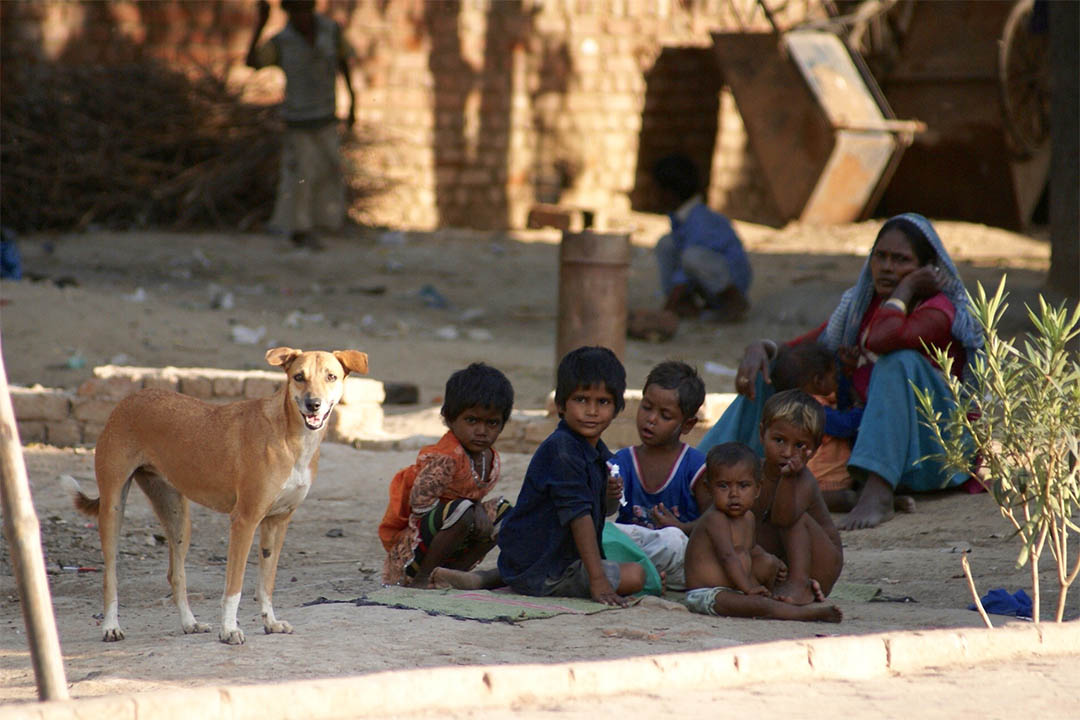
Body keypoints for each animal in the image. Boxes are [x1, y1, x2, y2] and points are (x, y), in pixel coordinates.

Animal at [70, 345, 371, 643]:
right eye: (299, 377)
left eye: (331, 376)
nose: (313, 404)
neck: (290, 436)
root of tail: (129, 398)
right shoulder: (244, 520)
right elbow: (234, 586)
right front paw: (228, 629)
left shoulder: (277, 522)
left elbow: (266, 582)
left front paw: (270, 623)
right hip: (112, 508)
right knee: (110, 575)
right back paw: (111, 626)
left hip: (178, 516)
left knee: (175, 574)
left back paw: (189, 623)